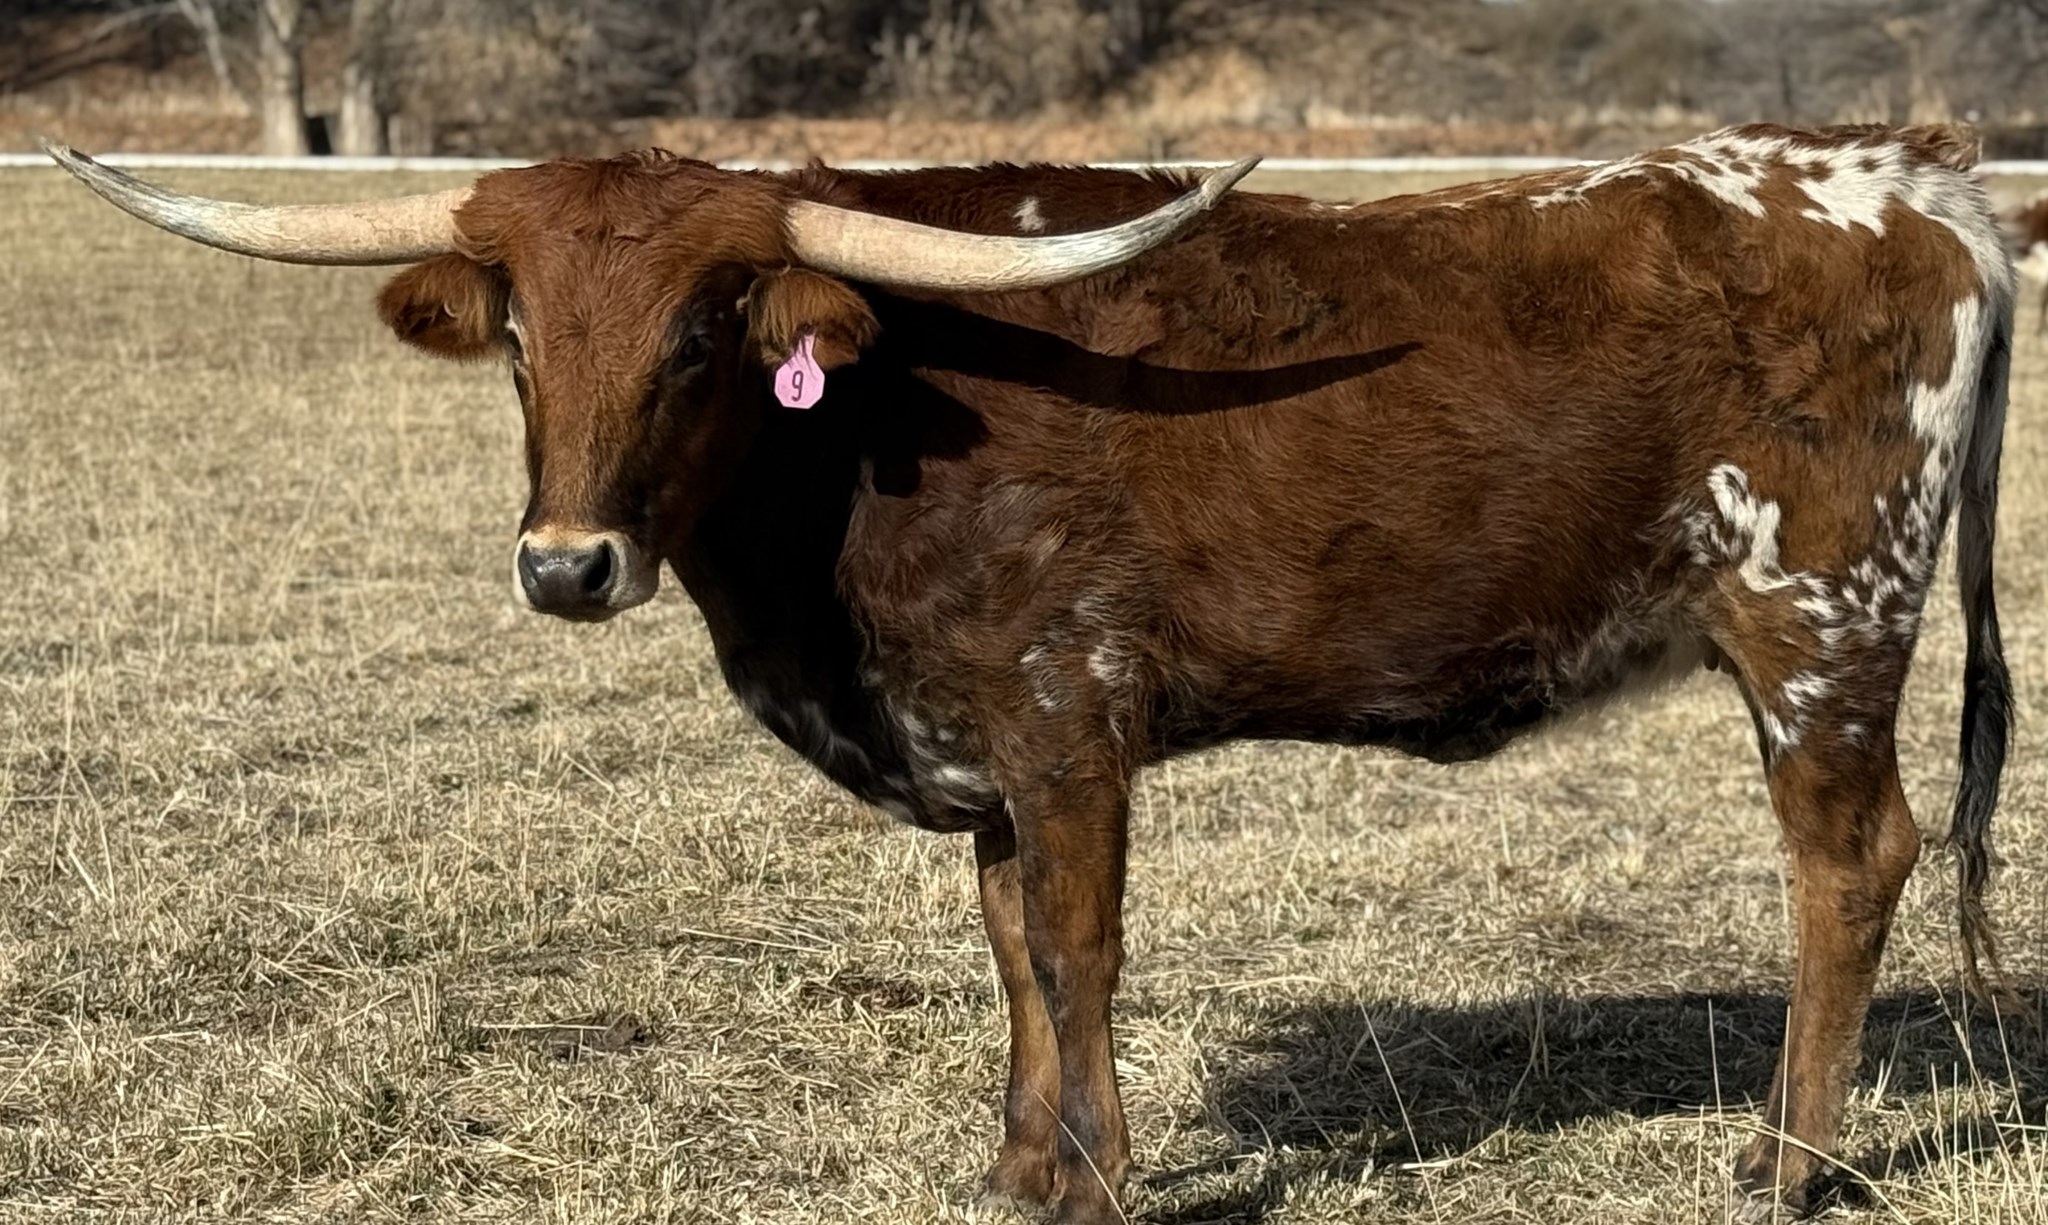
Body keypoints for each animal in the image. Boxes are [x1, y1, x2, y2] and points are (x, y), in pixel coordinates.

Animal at [44, 121, 2014, 1224]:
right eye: (521, 328)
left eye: (706, 330)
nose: (565, 565)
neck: (861, 442)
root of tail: (1905, 183)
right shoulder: (980, 737)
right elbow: (1001, 945)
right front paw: (1017, 1168)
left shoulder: (1072, 718)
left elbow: (1074, 949)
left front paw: (1105, 1177)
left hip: (1818, 620)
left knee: (1847, 863)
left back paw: (1785, 1166)